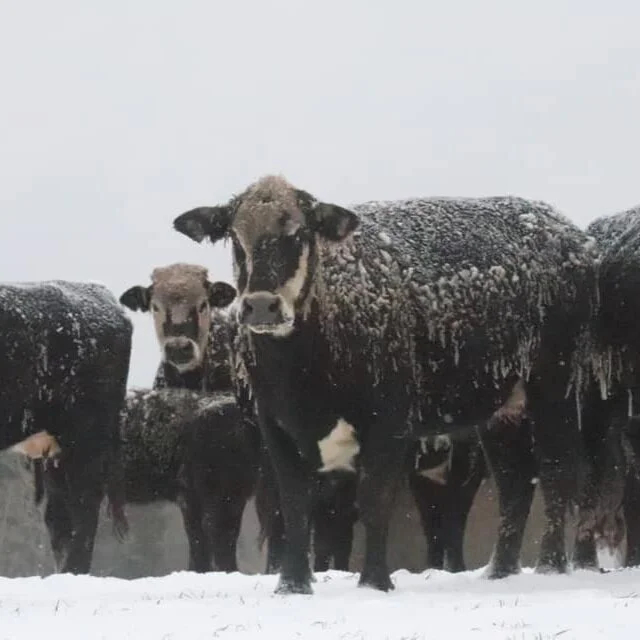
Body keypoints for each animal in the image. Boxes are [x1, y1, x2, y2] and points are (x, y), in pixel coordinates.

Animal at [172, 175, 597, 594]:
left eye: (300, 233)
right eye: (235, 235)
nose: (262, 305)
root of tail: (564, 231)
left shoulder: (390, 420)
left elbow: (374, 499)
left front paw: (374, 581)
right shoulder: (274, 424)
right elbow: (292, 504)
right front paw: (292, 584)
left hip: (555, 387)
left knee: (556, 472)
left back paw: (550, 566)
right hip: (503, 409)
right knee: (515, 482)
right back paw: (499, 572)